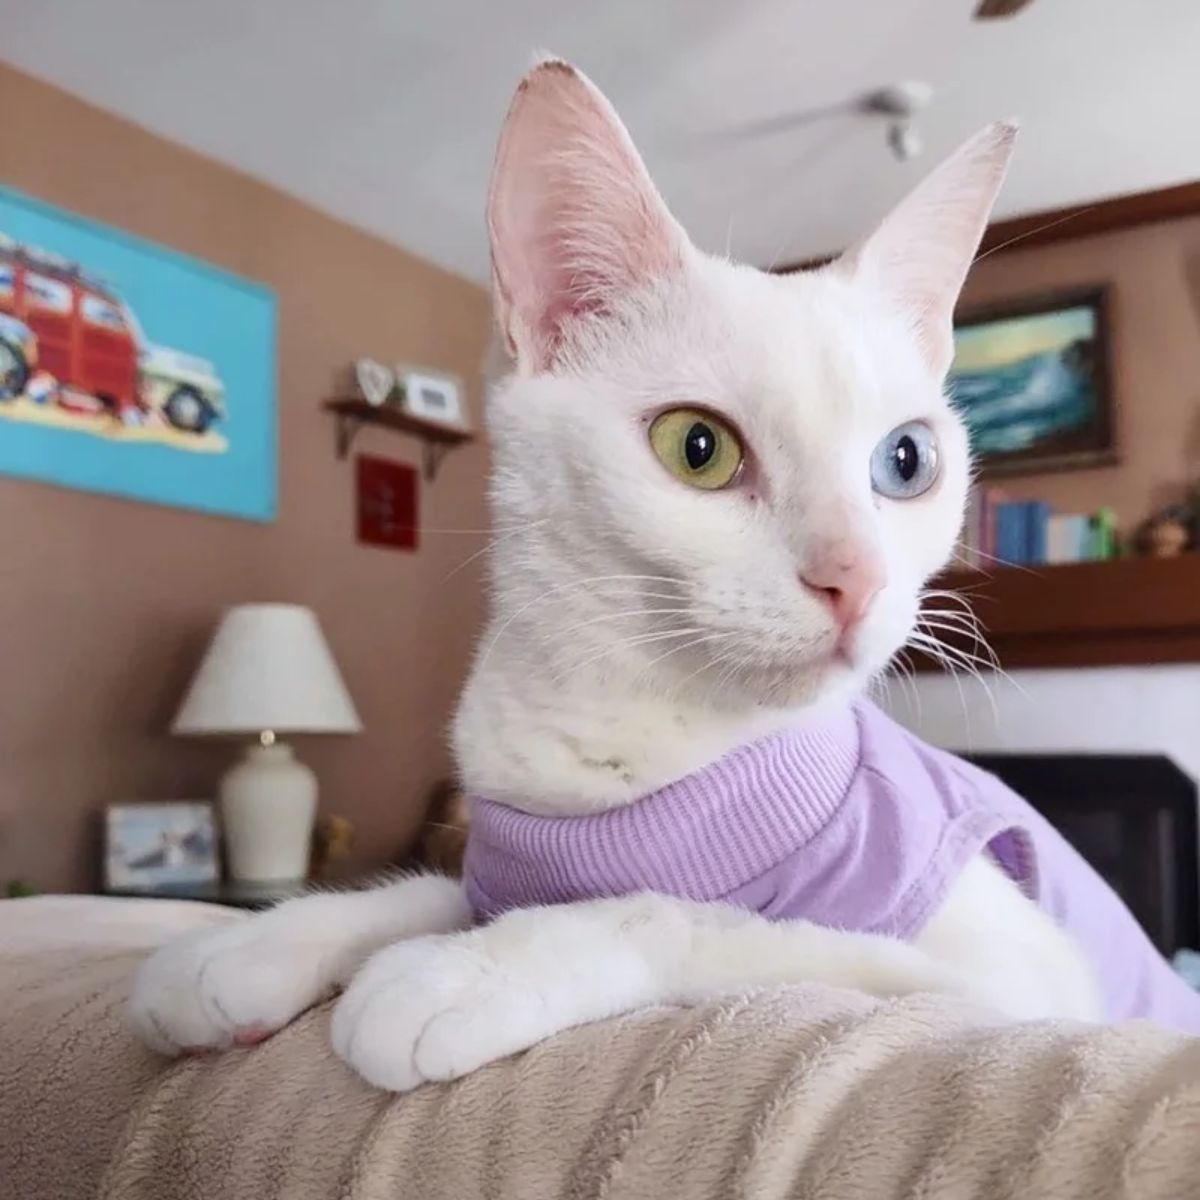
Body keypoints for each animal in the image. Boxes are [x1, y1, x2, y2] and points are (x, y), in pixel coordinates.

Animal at [129, 60, 1099, 1094]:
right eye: (698, 448)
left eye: (908, 462)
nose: (857, 578)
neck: (624, 734)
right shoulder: (499, 862)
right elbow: (428, 887)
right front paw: (253, 946)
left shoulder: (1020, 981)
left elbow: (694, 917)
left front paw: (468, 970)